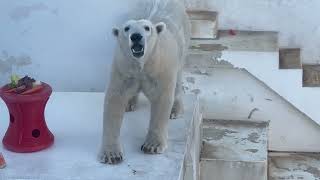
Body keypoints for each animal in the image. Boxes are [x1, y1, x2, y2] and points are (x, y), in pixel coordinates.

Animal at [100, 0, 190, 164]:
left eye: (147, 28)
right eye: (126, 28)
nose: (136, 36)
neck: (143, 64)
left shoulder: (161, 67)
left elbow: (161, 99)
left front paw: (152, 146)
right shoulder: (123, 67)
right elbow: (115, 100)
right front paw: (112, 155)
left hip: (183, 44)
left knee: (178, 80)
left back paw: (175, 110)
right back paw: (130, 103)